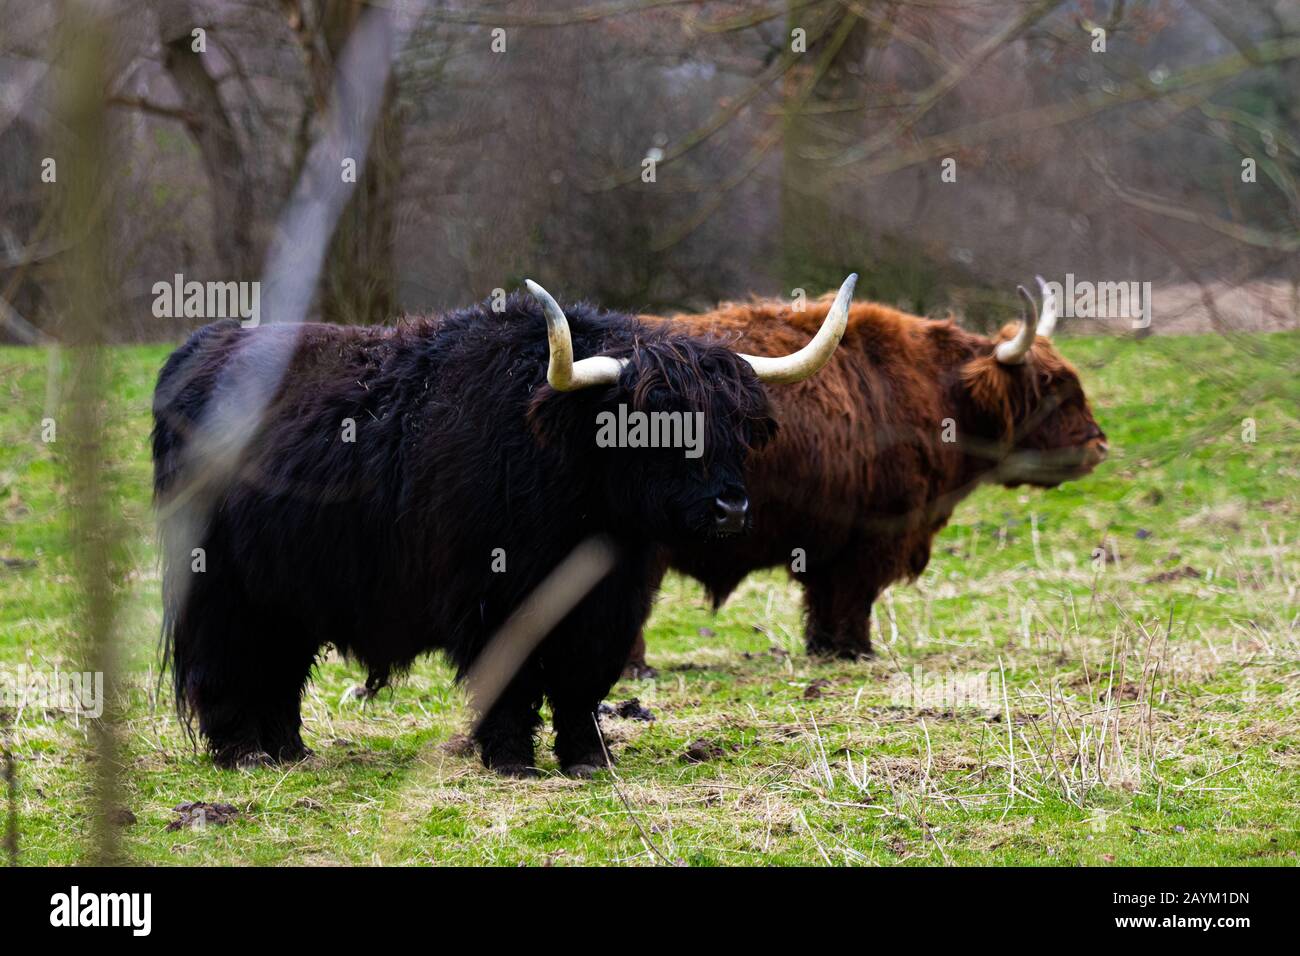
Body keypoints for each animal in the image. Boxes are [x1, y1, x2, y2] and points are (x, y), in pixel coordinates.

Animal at [152, 277, 857, 780]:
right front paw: (513, 761)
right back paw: (244, 754)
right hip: (220, 584)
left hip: (288, 589)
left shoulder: (609, 604)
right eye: (648, 421)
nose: (730, 508)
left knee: (279, 665)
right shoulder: (491, 595)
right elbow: (512, 680)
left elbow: (583, 679)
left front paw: (588, 760)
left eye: (737, 423)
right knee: (223, 663)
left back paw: (290, 750)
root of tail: (200, 350)